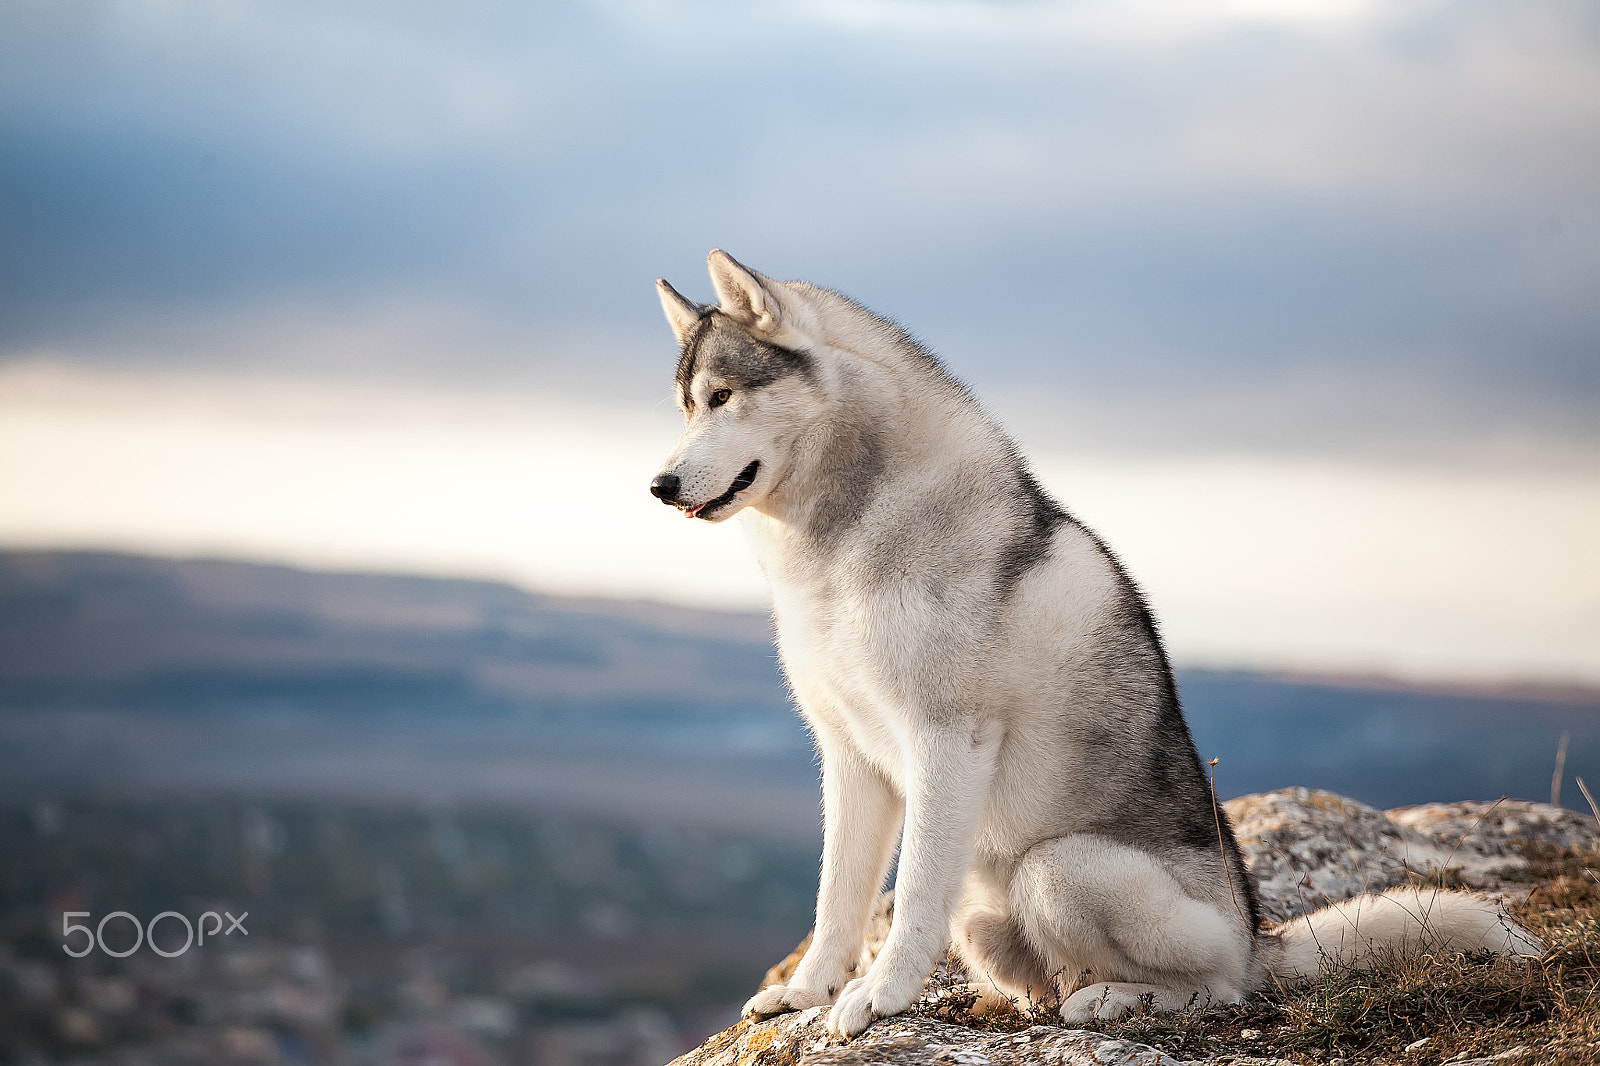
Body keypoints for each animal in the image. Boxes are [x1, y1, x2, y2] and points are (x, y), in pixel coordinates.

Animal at [646, 251, 1536, 1037]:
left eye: (723, 396)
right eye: (686, 405)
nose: (657, 486)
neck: (841, 543)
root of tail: (1262, 940)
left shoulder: (944, 742)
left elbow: (912, 898)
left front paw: (879, 997)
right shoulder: (851, 758)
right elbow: (838, 899)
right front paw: (805, 994)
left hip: (1061, 869)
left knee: (1213, 989)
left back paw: (1113, 1001)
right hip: (984, 914)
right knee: (1032, 971)